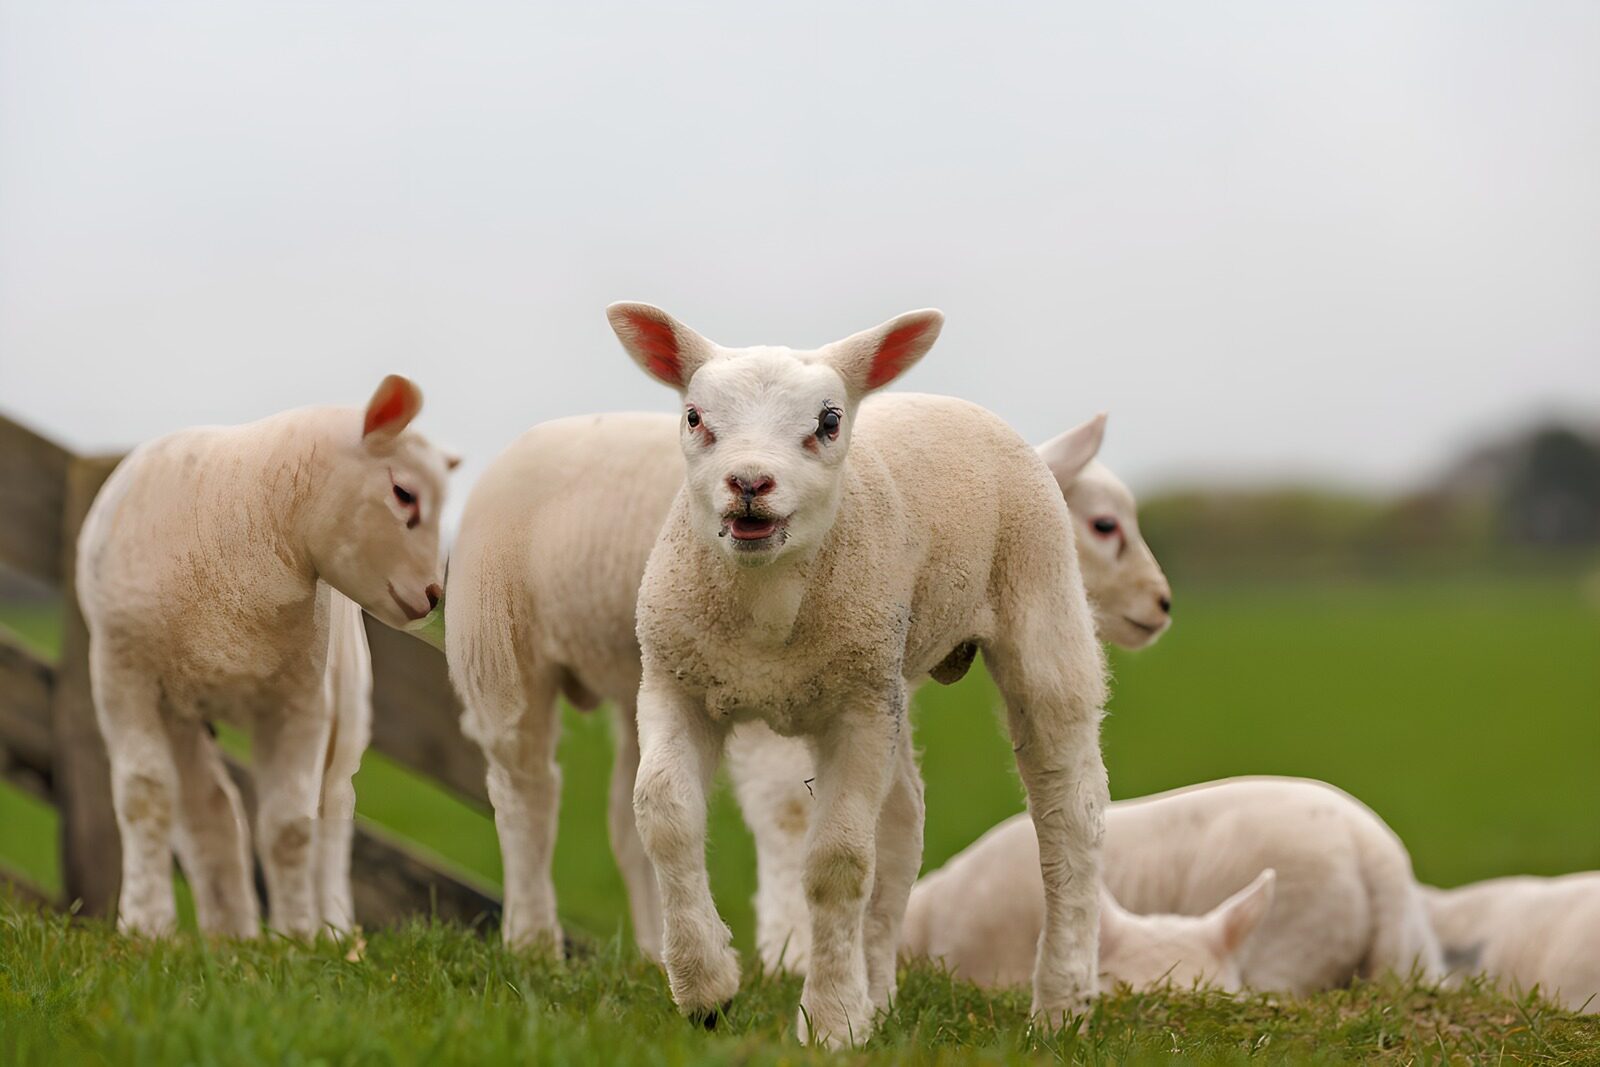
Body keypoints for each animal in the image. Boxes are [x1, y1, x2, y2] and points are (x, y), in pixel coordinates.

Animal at [76, 376, 452, 939]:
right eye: (404, 493)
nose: (434, 597)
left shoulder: (299, 699)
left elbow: (290, 825)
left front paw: (295, 936)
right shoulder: (123, 676)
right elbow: (147, 795)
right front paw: (146, 928)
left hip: (347, 704)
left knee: (335, 807)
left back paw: (334, 931)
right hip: (179, 706)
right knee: (209, 806)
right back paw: (228, 935)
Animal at [606, 302, 1108, 1046]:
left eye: (828, 421)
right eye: (694, 416)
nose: (749, 483)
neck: (767, 610)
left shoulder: (856, 709)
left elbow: (837, 862)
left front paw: (832, 1020)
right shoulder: (674, 681)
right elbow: (665, 814)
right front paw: (705, 987)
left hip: (1038, 608)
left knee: (1070, 808)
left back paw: (1062, 1005)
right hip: (887, 672)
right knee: (902, 827)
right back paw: (883, 995)